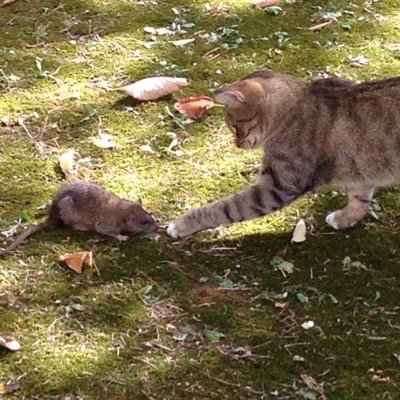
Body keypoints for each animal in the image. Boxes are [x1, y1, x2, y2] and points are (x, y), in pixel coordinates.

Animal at [167, 69, 400, 238]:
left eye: (234, 127)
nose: (237, 144)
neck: (287, 114)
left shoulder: (277, 186)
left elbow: (227, 207)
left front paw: (181, 224)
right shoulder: (358, 169)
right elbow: (359, 198)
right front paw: (346, 218)